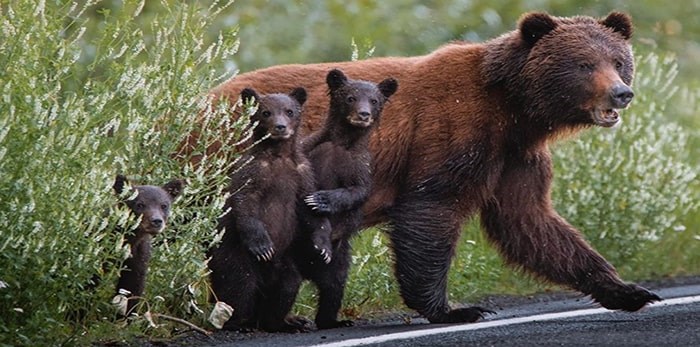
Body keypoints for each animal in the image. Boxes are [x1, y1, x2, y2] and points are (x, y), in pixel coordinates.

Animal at [296, 67, 400, 328]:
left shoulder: (361, 166)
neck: (342, 142)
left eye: (374, 100)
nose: (363, 114)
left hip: (340, 259)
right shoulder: (309, 149)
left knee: (334, 287)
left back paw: (333, 320)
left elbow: (357, 191)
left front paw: (322, 199)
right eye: (351, 97)